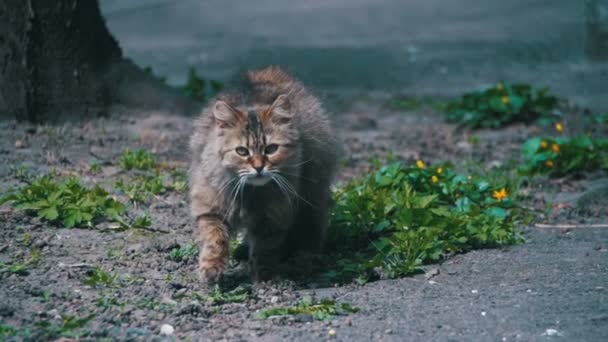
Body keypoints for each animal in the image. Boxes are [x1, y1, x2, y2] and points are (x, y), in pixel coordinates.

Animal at [188, 65, 338, 282]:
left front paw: (264, 273)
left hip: (313, 193)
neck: (249, 194)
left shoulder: (273, 217)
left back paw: (304, 258)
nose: (259, 167)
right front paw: (211, 268)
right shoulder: (210, 210)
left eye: (271, 149)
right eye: (242, 151)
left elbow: (265, 248)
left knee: (311, 228)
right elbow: (214, 240)